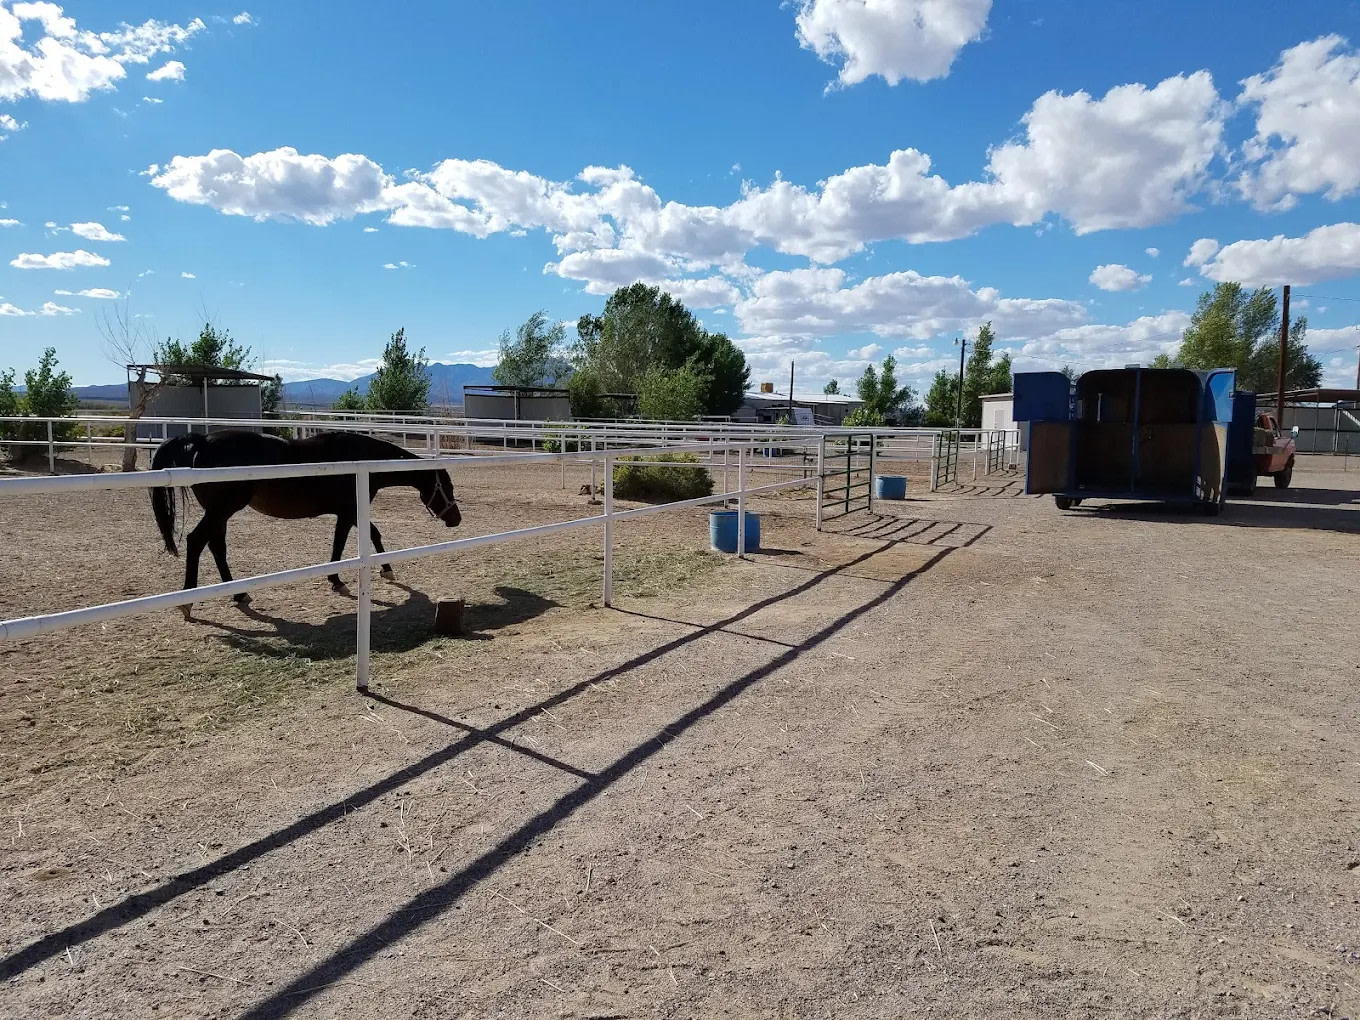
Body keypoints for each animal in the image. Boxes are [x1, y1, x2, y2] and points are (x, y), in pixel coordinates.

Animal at [150, 428, 461, 619]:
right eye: (446, 486)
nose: (456, 519)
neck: (360, 459)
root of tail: (202, 440)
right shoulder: (350, 511)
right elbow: (357, 538)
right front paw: (358, 575)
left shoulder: (347, 512)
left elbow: (357, 538)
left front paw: (355, 576)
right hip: (221, 510)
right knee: (196, 541)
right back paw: (188, 602)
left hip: (220, 513)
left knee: (216, 546)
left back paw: (239, 593)